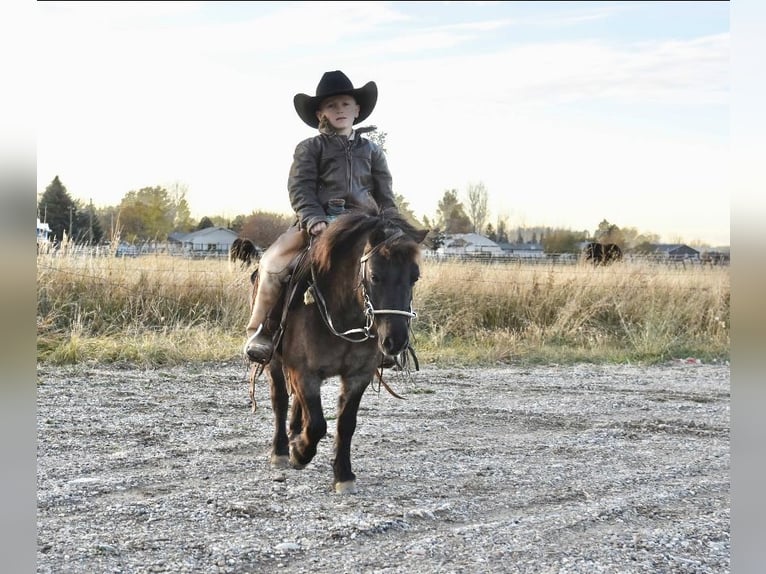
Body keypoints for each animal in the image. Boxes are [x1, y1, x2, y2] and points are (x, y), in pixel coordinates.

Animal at [252, 207, 432, 496]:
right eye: (374, 276)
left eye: (414, 277)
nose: (395, 341)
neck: (343, 314)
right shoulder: (305, 373)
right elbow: (317, 424)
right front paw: (300, 452)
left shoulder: (358, 376)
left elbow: (345, 424)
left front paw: (343, 475)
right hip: (275, 363)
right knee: (279, 400)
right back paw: (281, 450)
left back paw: (294, 434)